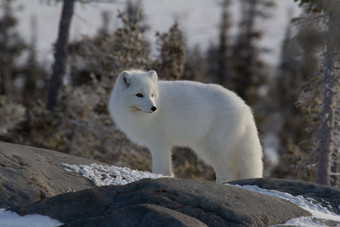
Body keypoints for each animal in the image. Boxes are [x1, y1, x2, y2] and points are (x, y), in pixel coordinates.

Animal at [109, 69, 262, 183]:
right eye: (139, 95)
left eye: (152, 95)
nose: (154, 108)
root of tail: (244, 107)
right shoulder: (162, 144)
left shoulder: (159, 143)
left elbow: (160, 168)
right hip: (206, 149)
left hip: (215, 149)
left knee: (229, 173)